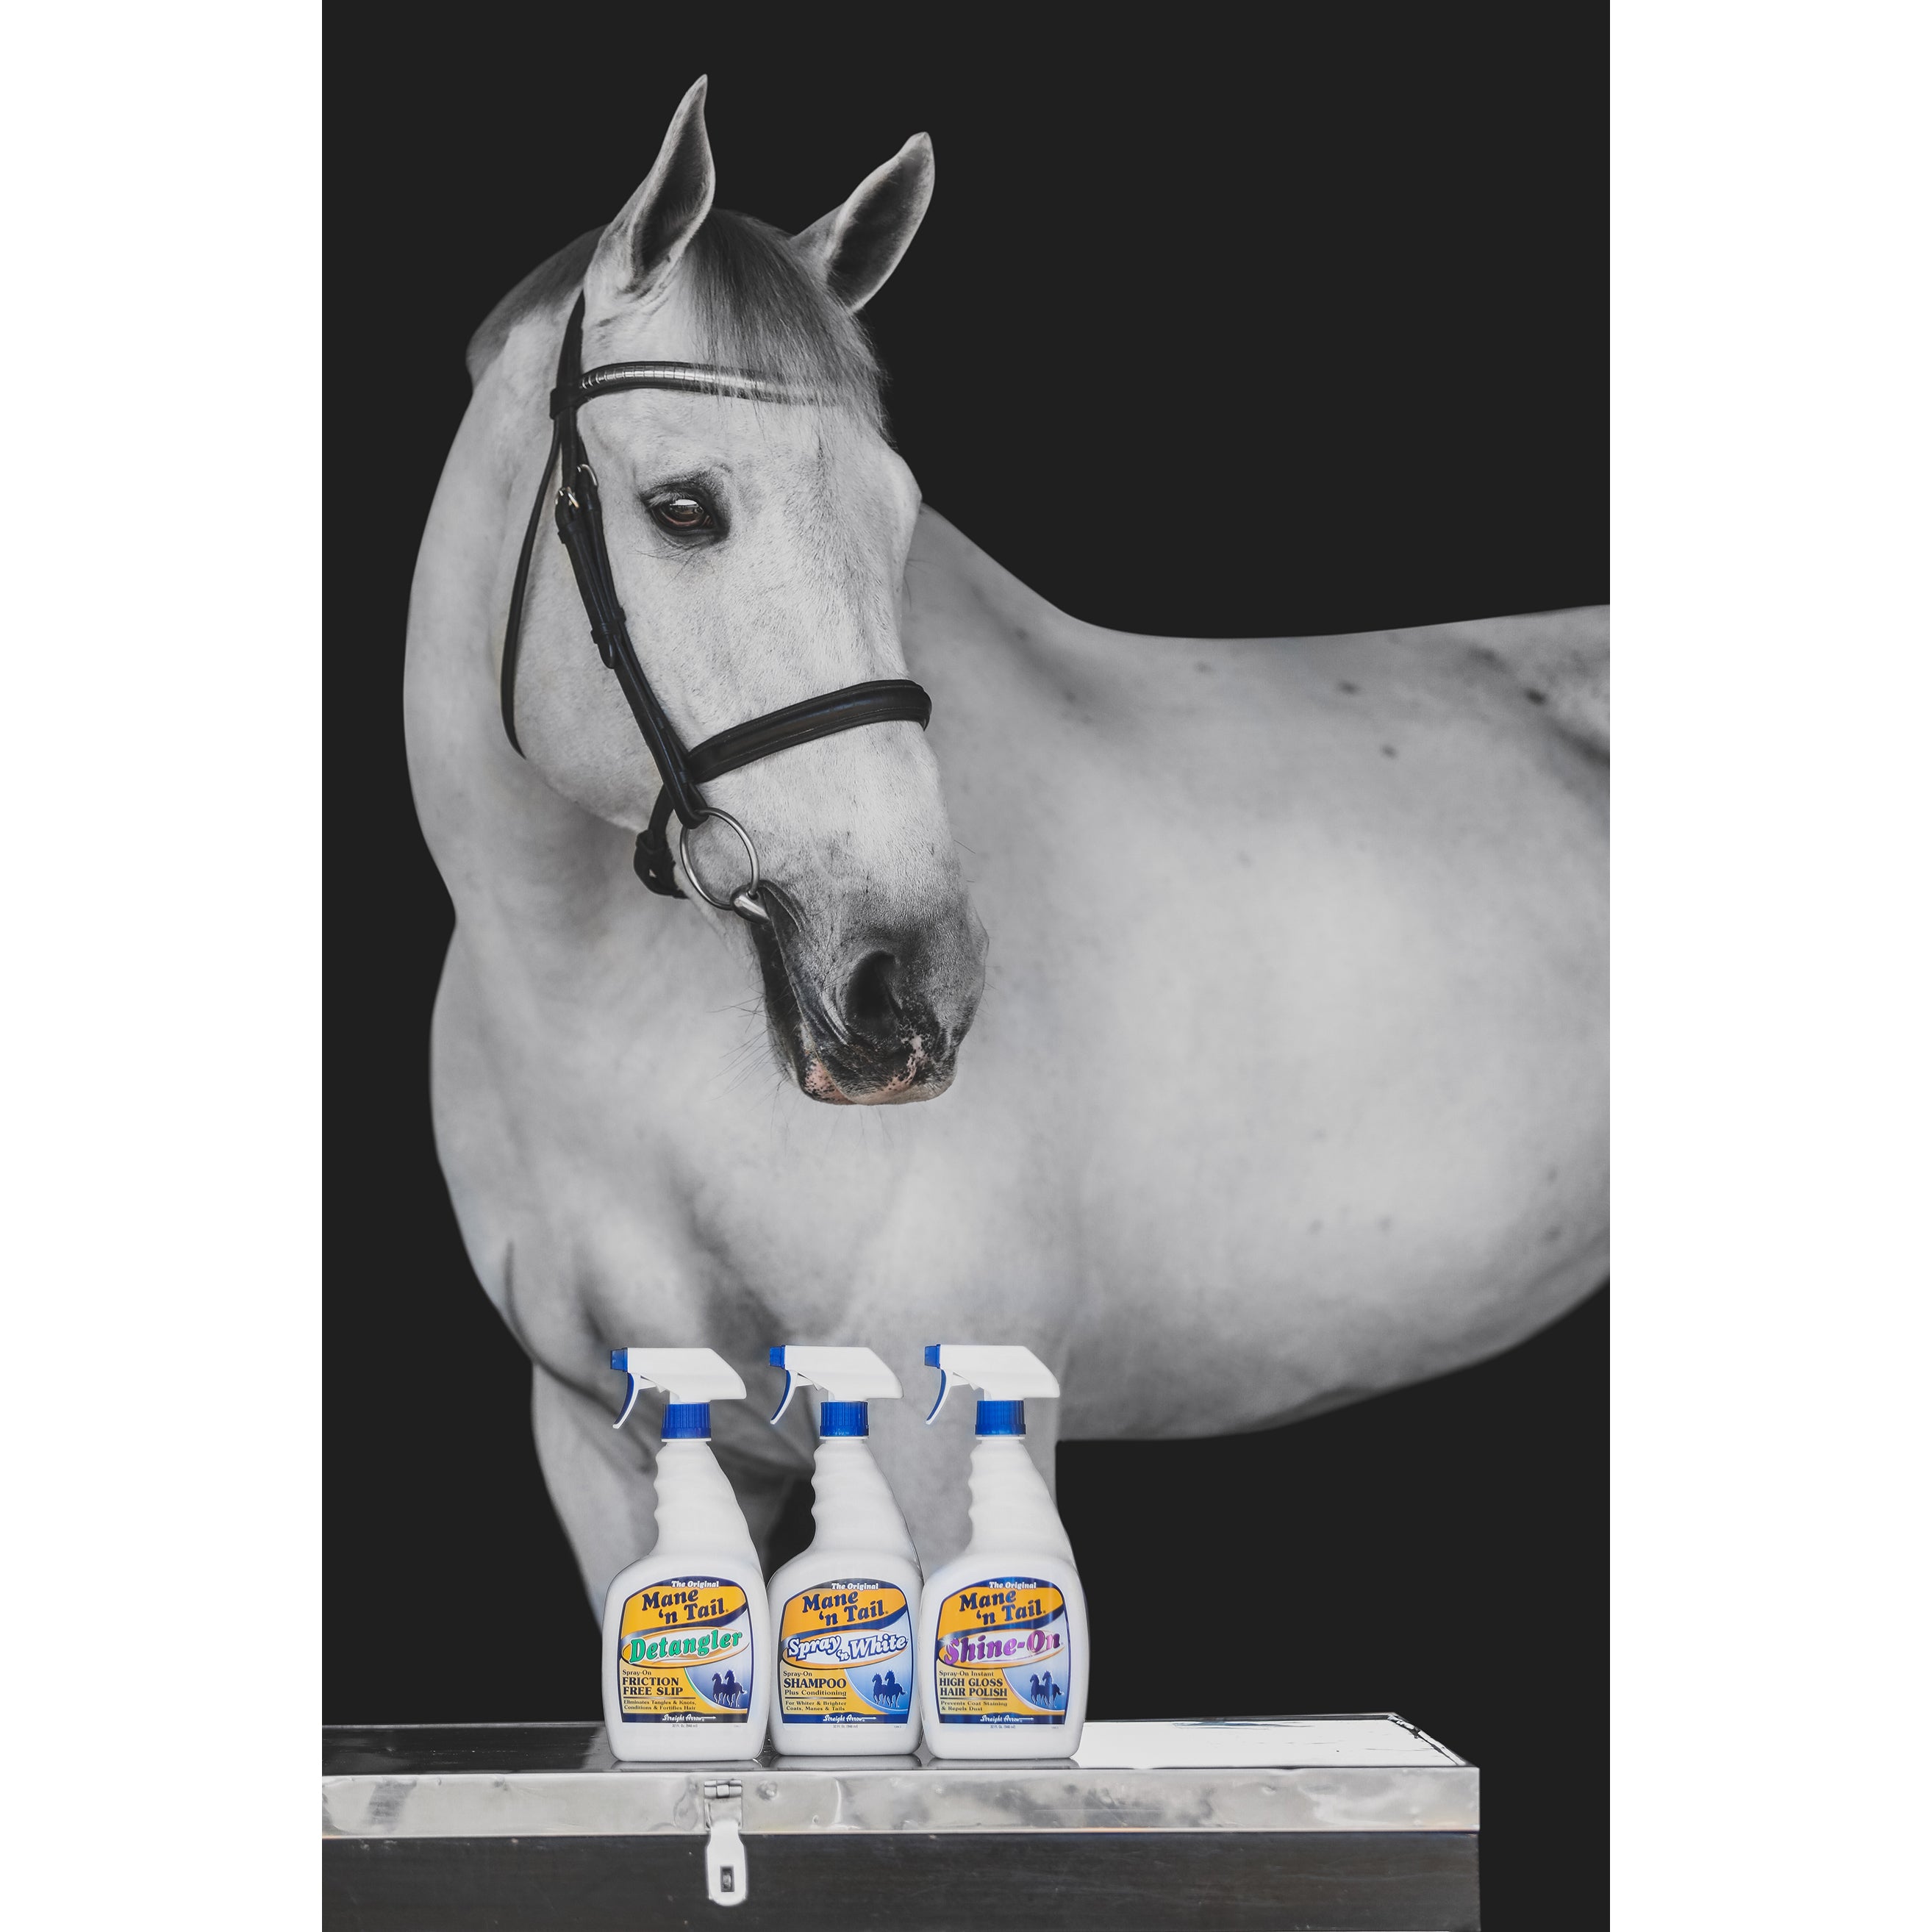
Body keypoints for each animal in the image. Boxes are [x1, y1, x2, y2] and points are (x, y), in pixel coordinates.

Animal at [404, 79, 1608, 1610]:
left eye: (902, 517)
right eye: (681, 507)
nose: (907, 984)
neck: (604, 1033)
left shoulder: (945, 1447)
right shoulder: (600, 1448)